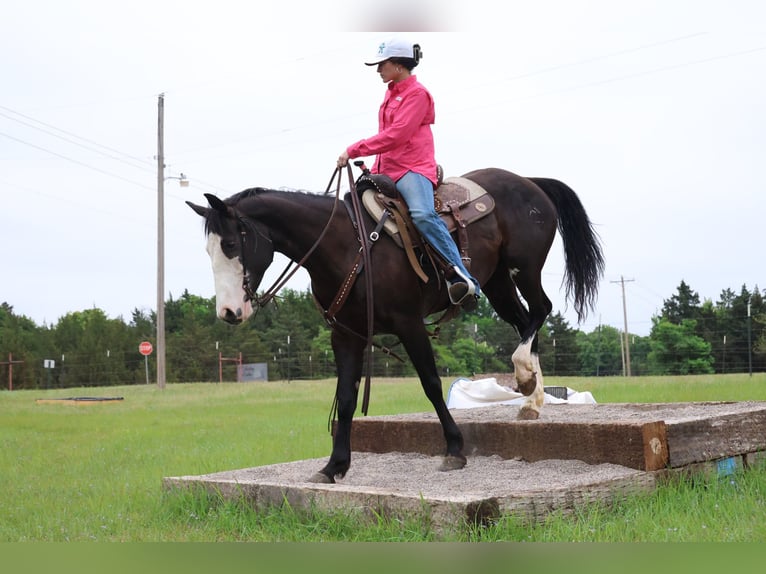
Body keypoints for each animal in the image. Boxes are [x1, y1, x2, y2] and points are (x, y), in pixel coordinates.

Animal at [187, 167, 604, 483]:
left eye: (230, 244)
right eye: (208, 250)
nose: (228, 313)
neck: (347, 246)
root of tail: (528, 181)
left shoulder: (409, 323)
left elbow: (432, 384)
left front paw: (454, 449)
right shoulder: (346, 336)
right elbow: (346, 397)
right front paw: (334, 466)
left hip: (524, 268)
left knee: (540, 309)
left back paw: (523, 377)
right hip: (498, 281)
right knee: (523, 321)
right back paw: (532, 397)